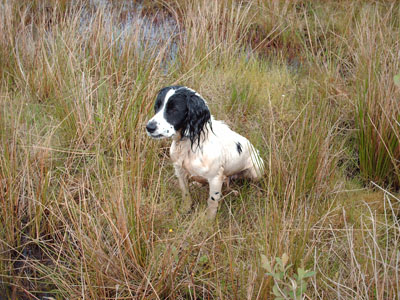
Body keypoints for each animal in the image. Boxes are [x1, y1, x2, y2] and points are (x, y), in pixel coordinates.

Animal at [145, 85, 264, 219]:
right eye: (157, 106)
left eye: (174, 109)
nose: (149, 127)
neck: (189, 145)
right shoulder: (179, 171)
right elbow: (185, 194)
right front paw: (185, 210)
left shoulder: (215, 178)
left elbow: (212, 202)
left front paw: (209, 220)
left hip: (256, 169)